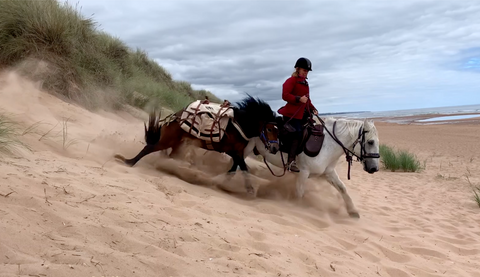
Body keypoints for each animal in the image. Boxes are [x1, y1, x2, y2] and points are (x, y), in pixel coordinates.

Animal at [116, 96, 280, 193]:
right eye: (270, 129)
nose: (275, 148)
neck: (239, 124)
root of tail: (175, 117)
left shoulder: (237, 153)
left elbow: (235, 169)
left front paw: (222, 183)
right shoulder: (233, 151)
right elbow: (243, 168)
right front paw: (249, 189)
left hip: (177, 144)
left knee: (169, 156)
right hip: (167, 140)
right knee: (148, 148)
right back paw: (129, 161)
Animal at [246, 115, 380, 217]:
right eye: (370, 142)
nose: (374, 168)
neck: (328, 145)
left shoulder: (329, 172)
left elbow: (342, 188)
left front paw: (352, 211)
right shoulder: (303, 173)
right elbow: (300, 192)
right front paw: (297, 208)